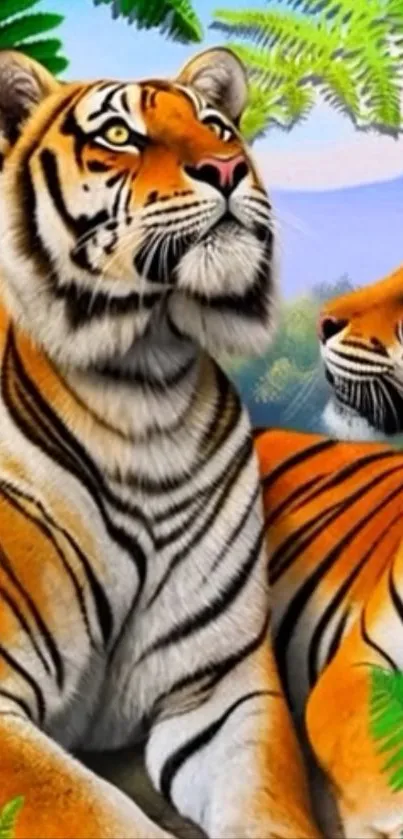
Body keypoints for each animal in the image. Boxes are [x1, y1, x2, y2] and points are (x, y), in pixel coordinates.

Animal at [0, 48, 320, 839]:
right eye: (119, 134)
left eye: (218, 127)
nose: (227, 167)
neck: (143, 396)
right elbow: (90, 809)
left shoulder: (222, 689)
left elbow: (269, 804)